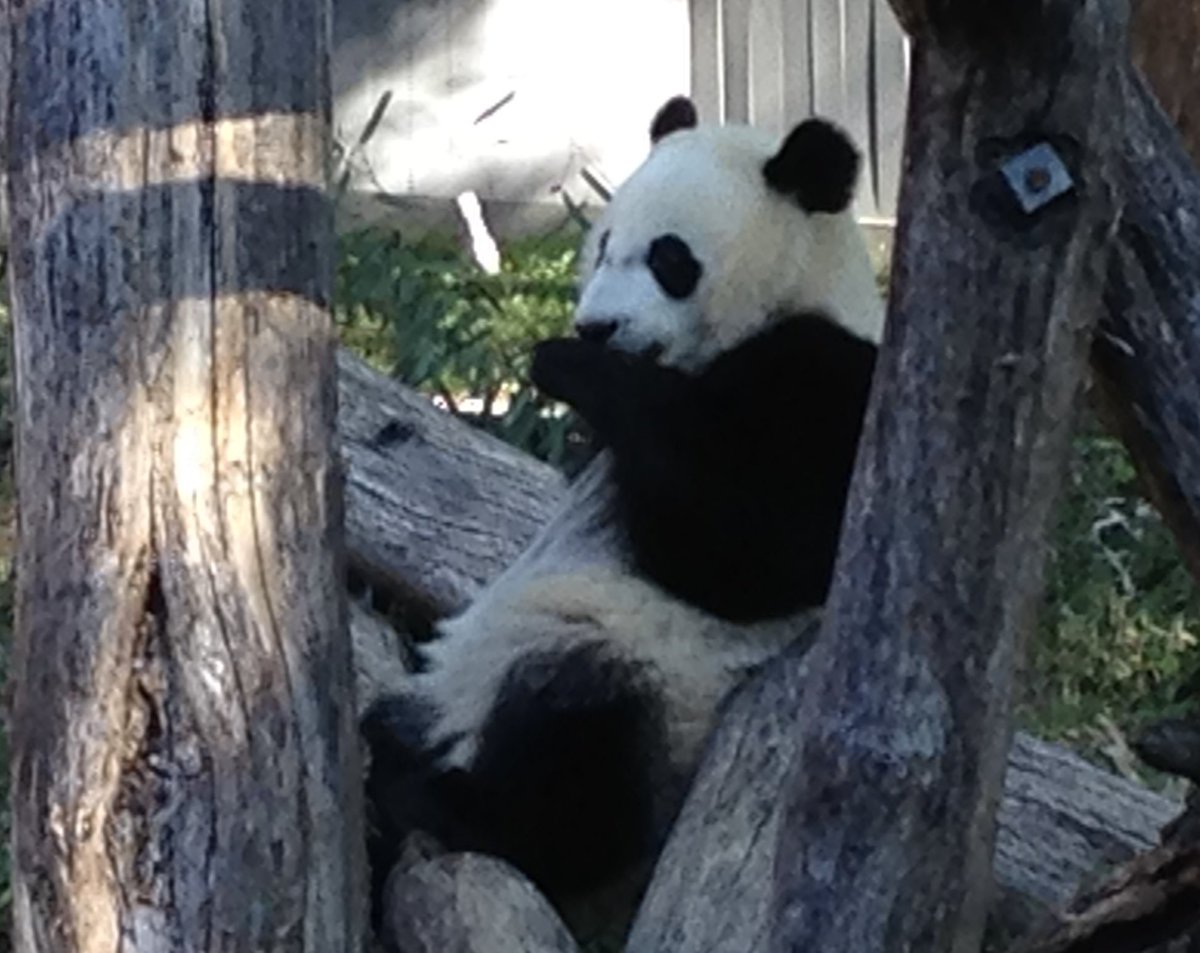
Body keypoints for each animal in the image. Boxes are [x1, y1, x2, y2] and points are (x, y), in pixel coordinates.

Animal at [363, 95, 885, 930]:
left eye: (670, 260)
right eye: (604, 245)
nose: (596, 326)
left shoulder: (831, 384)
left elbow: (754, 551)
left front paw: (568, 365)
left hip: (660, 684)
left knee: (581, 739)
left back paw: (451, 807)